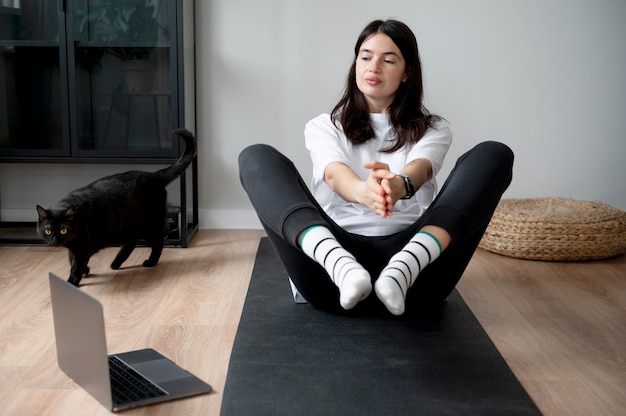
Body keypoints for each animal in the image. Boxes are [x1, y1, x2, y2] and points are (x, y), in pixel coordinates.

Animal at [36, 129, 195, 286]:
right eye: (48, 231)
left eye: (63, 230)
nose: (55, 241)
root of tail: (154, 175)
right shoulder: (74, 247)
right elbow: (71, 260)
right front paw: (85, 270)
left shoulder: (83, 248)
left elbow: (76, 266)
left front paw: (72, 281)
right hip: (127, 225)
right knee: (131, 243)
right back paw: (116, 263)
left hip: (150, 224)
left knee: (158, 242)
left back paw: (150, 262)